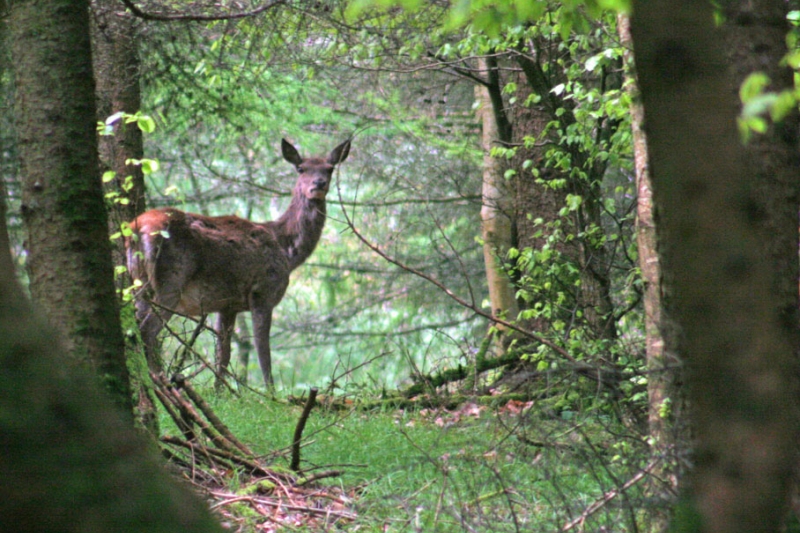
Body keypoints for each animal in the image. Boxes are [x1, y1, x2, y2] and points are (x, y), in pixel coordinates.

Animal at [126, 138, 351, 388]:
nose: (318, 183)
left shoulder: (227, 305)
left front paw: (219, 391)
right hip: (170, 282)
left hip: (139, 282)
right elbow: (264, 355)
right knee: (147, 332)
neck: (286, 250)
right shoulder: (263, 292)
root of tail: (137, 228)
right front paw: (270, 392)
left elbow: (223, 356)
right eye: (301, 168)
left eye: (329, 169)